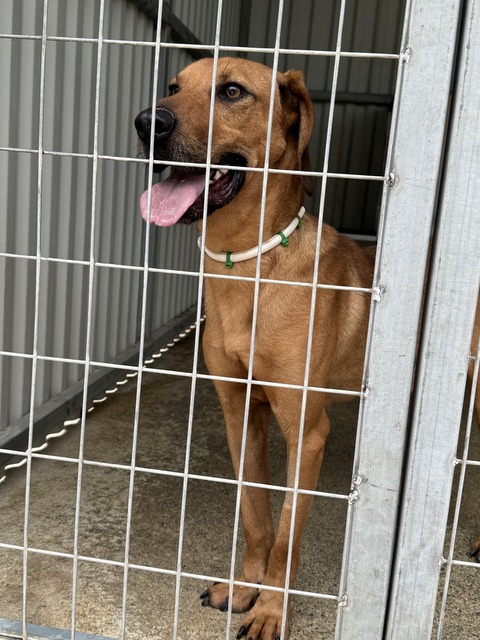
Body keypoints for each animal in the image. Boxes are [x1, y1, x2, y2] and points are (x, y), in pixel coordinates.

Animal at [135, 57, 480, 639]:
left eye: (232, 91)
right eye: (172, 87)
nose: (146, 122)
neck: (250, 266)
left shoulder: (308, 431)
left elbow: (287, 537)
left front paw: (272, 611)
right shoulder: (239, 412)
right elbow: (256, 516)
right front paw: (245, 588)